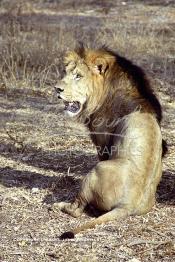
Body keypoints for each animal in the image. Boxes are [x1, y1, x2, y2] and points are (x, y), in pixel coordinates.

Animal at [54, 45, 166, 239]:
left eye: (78, 76)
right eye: (65, 73)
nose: (57, 89)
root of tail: (128, 205)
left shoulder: (103, 143)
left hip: (96, 171)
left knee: (77, 209)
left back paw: (58, 205)